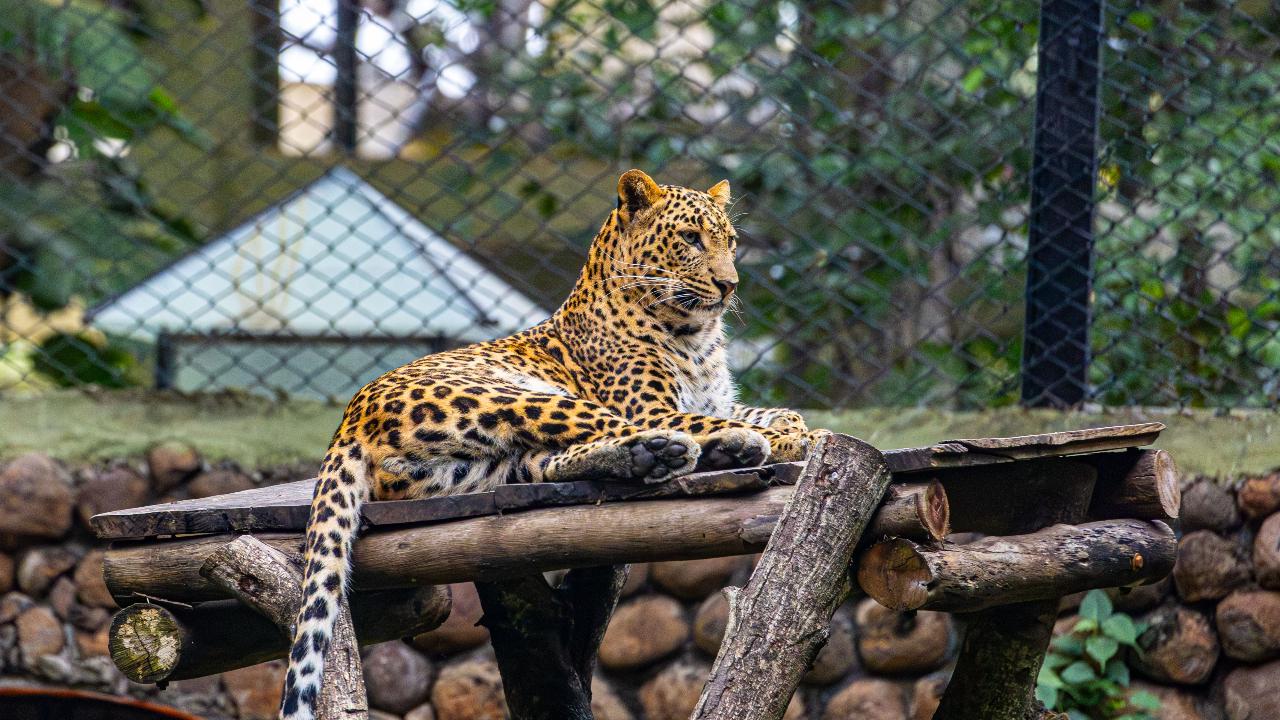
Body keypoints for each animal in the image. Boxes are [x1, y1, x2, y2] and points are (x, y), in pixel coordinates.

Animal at [279, 169, 817, 720]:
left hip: (480, 467)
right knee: (610, 430)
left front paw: (803, 429)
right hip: (515, 394)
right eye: (690, 239)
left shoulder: (719, 400)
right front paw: (786, 438)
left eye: (730, 242)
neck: (696, 334)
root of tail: (349, 418)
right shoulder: (650, 408)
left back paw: (662, 455)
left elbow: (780, 411)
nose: (730, 285)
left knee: (545, 459)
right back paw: (708, 448)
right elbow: (725, 421)